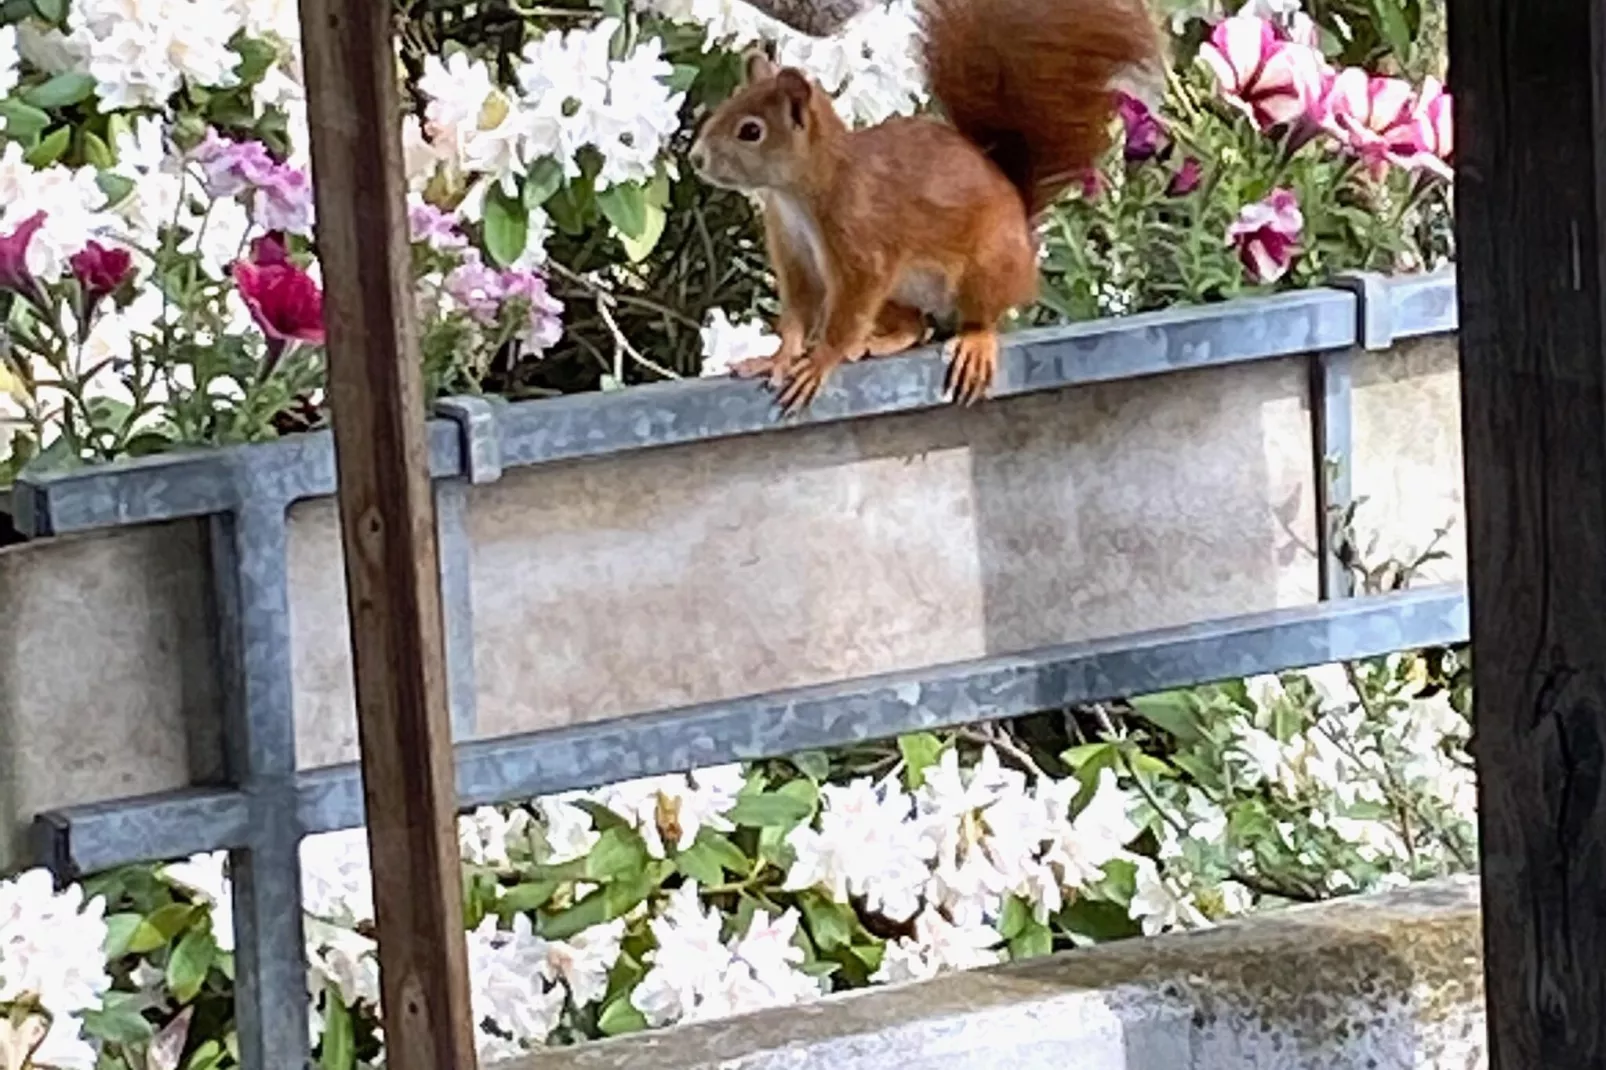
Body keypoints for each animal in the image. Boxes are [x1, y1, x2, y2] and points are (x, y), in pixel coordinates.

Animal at [687, 0, 1156, 409]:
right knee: (915, 326)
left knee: (982, 316)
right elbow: (798, 314)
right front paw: (778, 358)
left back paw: (973, 343)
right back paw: (877, 343)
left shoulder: (863, 247)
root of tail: (1021, 220)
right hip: (901, 293)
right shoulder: (795, 254)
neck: (796, 194)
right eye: (726, 106)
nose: (696, 158)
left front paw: (819, 363)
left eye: (751, 131)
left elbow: (846, 315)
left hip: (985, 268)